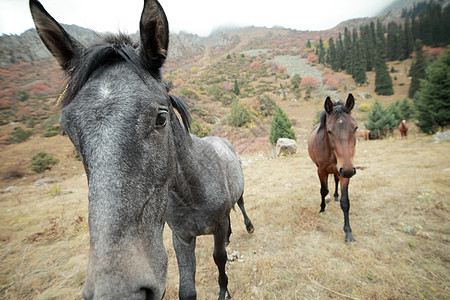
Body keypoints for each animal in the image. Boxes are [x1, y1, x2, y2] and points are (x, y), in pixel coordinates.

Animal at [29, 0, 253, 300]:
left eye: (161, 118)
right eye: (67, 129)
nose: (117, 291)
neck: (193, 192)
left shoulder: (215, 227)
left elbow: (219, 258)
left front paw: (224, 291)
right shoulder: (181, 237)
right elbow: (187, 290)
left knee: (240, 204)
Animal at [308, 95, 356, 243]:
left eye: (355, 128)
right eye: (329, 131)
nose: (348, 170)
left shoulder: (344, 172)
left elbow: (345, 202)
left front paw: (348, 233)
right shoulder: (321, 171)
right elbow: (323, 190)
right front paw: (322, 208)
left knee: (335, 180)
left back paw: (334, 195)